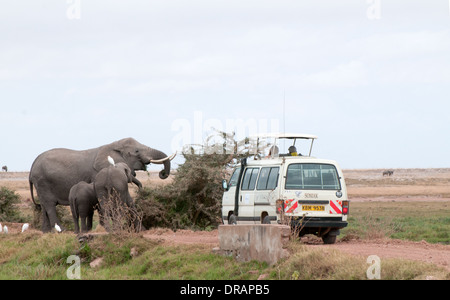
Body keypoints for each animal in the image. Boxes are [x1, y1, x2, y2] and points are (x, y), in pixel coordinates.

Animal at [29, 137, 175, 233]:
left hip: (40, 184)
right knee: (50, 206)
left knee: (44, 206)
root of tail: (31, 168)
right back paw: (62, 231)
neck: (113, 146)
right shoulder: (97, 173)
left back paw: (46, 232)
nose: (162, 173)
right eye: (137, 151)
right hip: (42, 181)